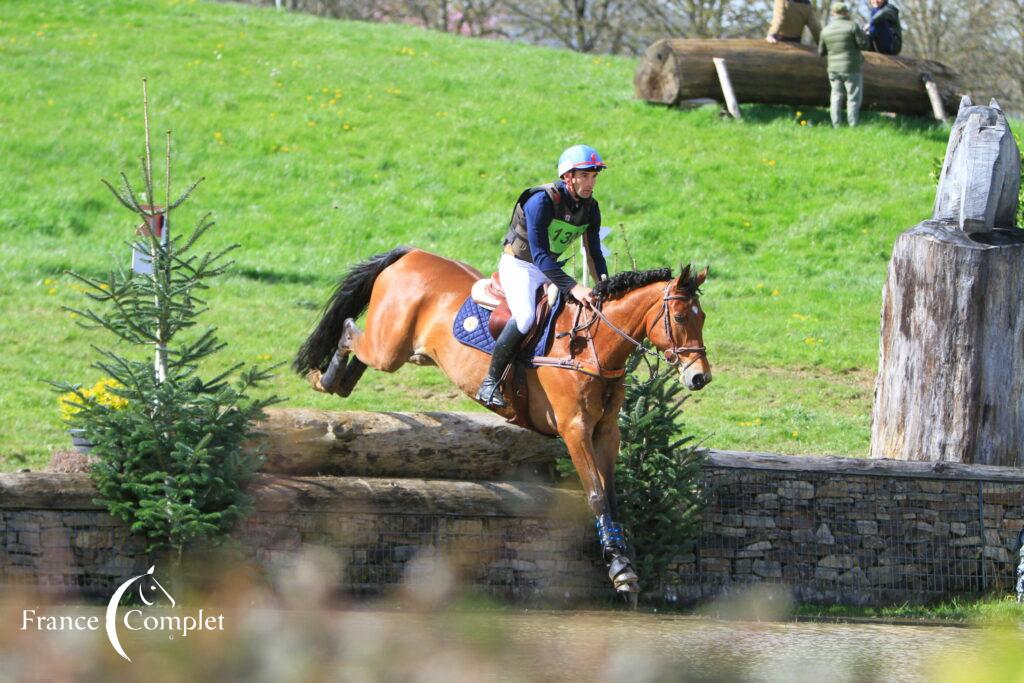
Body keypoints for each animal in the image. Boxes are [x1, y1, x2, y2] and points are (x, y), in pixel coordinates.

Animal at [294, 248, 712, 602]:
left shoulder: (607, 432)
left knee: (358, 361)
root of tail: (411, 253)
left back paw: (333, 380)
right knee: (350, 331)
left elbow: (611, 496)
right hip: (389, 347)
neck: (592, 345)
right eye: (679, 317)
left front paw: (624, 564)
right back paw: (322, 376)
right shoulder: (574, 428)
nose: (699, 378)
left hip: (406, 351)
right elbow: (595, 494)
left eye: (703, 317)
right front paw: (620, 570)